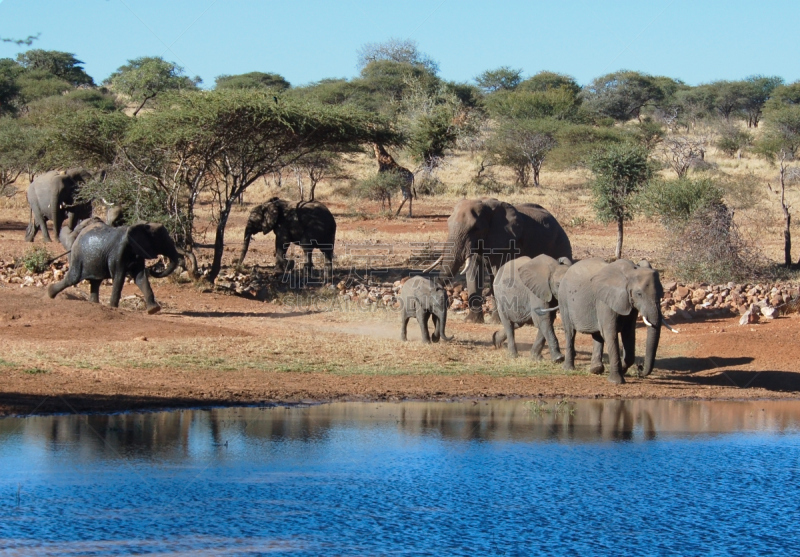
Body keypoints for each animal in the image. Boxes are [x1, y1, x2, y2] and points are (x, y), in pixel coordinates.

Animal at [47, 217, 196, 312]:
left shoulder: (138, 253)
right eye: (161, 239)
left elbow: (140, 277)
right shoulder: (118, 253)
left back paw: (93, 304)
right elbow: (118, 277)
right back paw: (50, 293)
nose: (153, 268)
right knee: (73, 278)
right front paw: (113, 307)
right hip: (78, 256)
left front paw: (154, 309)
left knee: (95, 282)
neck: (138, 226)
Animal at [422, 199, 572, 322]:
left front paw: (497, 321)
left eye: (475, 229)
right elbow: (474, 273)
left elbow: (499, 273)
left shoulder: (508, 242)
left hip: (561, 243)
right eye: (448, 224)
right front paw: (471, 321)